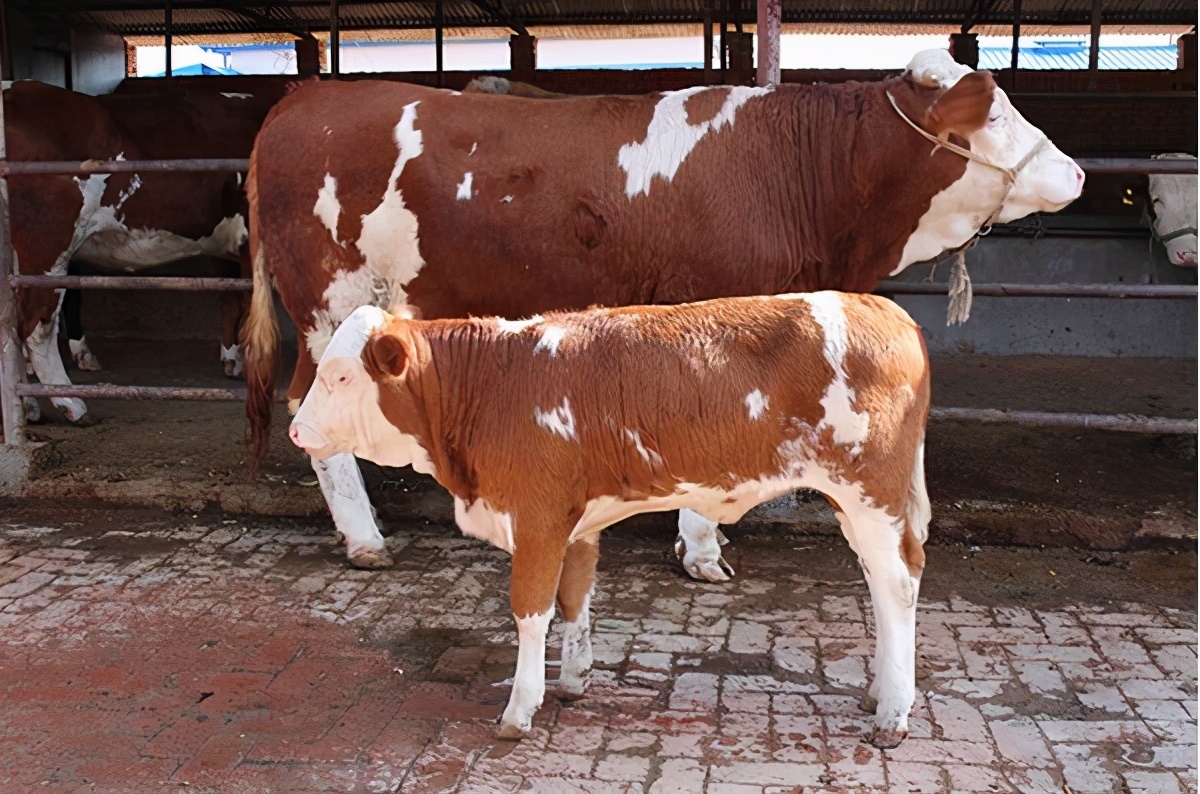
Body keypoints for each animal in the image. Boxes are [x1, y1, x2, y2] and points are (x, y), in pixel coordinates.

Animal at [5, 79, 282, 424]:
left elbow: (231, 300)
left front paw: (232, 360)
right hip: (47, 242)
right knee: (35, 326)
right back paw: (71, 403)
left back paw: (27, 404)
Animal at [244, 48, 1084, 578]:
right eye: (996, 115)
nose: (1076, 172)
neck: (801, 170)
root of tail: (307, 97)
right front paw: (703, 553)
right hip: (329, 303)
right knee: (308, 408)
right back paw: (364, 539)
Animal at [288, 292, 932, 747]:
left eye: (341, 376)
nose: (295, 430)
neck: (493, 383)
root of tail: (887, 309)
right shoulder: (575, 519)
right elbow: (575, 598)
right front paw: (573, 681)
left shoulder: (538, 514)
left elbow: (530, 610)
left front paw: (520, 708)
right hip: (859, 502)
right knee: (884, 581)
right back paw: (879, 691)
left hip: (870, 491)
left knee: (897, 584)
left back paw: (893, 714)